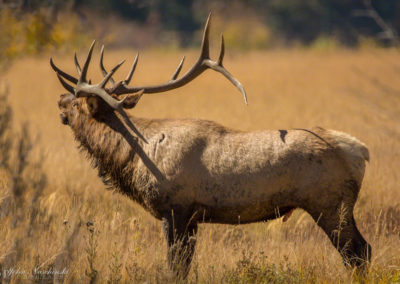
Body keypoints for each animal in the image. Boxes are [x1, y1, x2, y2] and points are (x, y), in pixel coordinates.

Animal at [51, 14, 370, 278]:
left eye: (77, 104)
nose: (60, 101)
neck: (133, 158)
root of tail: (360, 151)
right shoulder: (192, 218)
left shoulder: (175, 208)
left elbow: (175, 267)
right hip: (339, 206)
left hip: (330, 203)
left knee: (358, 252)